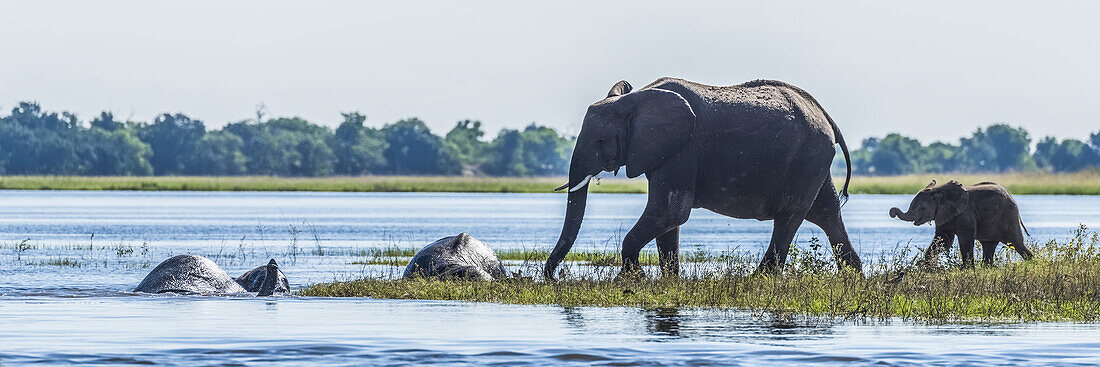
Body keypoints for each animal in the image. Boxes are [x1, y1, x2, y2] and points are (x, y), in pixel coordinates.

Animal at [545, 77, 862, 277]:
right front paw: (668, 281)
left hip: (807, 157)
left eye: (601, 140)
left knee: (789, 216)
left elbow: (670, 212)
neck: (636, 99)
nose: (554, 277)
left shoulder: (682, 150)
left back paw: (758, 280)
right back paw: (854, 277)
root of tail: (825, 114)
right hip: (813, 159)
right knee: (826, 212)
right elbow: (668, 221)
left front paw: (634, 279)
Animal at [888, 180, 1034, 267]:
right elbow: (943, 240)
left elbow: (964, 239)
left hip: (1009, 216)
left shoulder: (965, 214)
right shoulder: (942, 214)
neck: (939, 192)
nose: (892, 212)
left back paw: (1033, 262)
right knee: (989, 245)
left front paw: (966, 270)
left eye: (922, 209)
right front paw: (927, 268)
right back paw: (987, 267)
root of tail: (1012, 197)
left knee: (1016, 242)